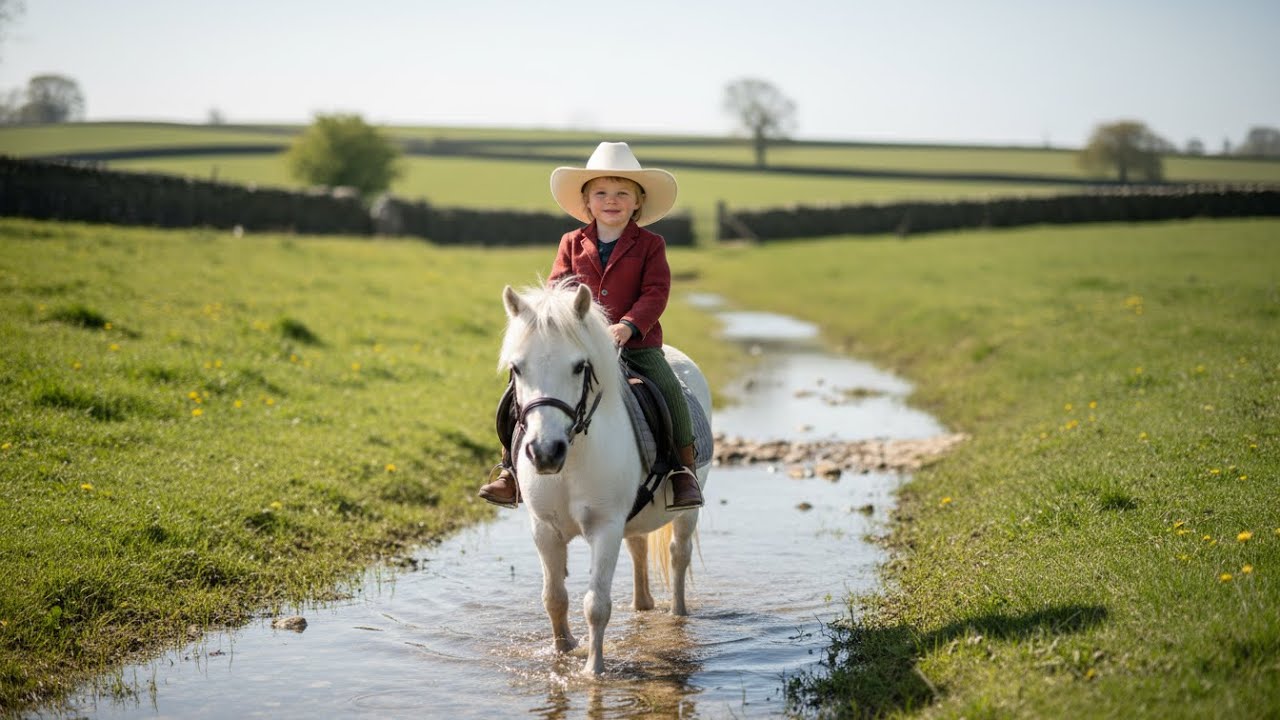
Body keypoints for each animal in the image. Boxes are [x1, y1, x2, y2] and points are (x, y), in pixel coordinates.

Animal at [498, 281, 711, 676]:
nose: (546, 452)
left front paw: (593, 671)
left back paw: (677, 616)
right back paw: (643, 605)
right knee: (639, 547)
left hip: (688, 510)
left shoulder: (605, 527)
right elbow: (554, 598)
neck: (572, 460)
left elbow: (596, 605)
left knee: (679, 555)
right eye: (517, 368)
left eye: (579, 367)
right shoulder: (544, 529)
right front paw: (562, 652)